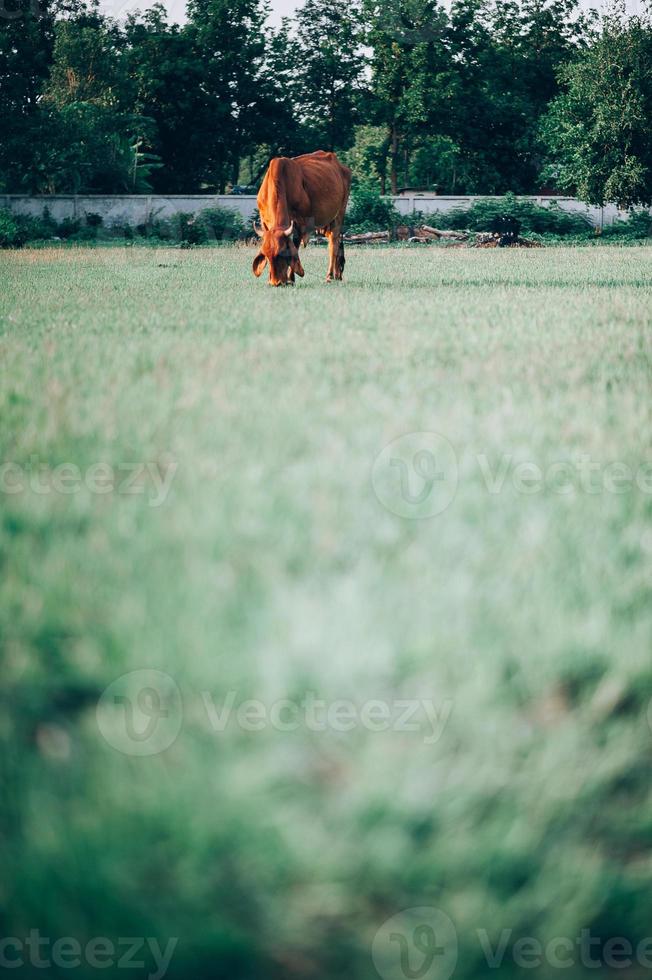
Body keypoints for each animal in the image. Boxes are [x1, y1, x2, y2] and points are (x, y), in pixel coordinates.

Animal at [252, 150, 352, 288]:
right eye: (266, 255)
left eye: (282, 253)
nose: (276, 282)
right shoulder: (264, 221)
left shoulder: (299, 223)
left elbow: (296, 246)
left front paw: (290, 278)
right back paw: (337, 275)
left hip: (339, 215)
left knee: (334, 244)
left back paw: (330, 276)